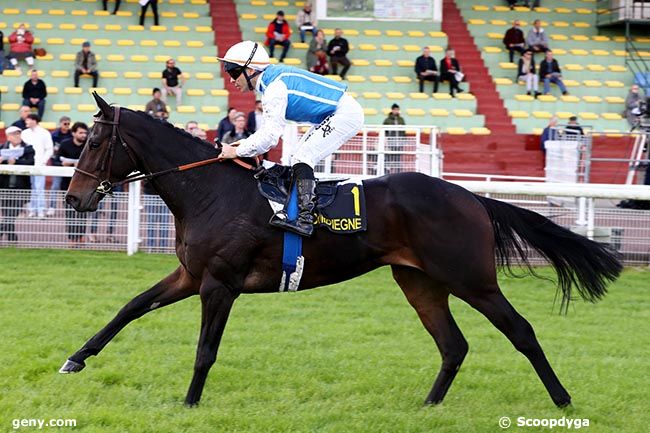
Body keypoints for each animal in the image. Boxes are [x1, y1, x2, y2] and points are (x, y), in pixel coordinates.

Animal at [59, 93, 616, 406]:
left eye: (94, 143)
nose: (73, 199)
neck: (211, 192)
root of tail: (471, 196)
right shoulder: (192, 276)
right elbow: (130, 308)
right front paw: (75, 359)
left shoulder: (219, 285)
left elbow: (205, 351)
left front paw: (190, 404)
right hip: (420, 281)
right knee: (453, 345)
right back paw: (428, 407)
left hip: (471, 279)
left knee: (521, 331)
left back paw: (563, 400)